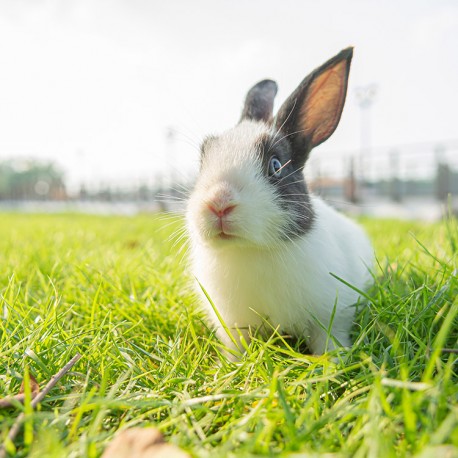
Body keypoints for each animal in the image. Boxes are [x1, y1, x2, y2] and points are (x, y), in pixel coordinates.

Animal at [185, 48, 372, 360]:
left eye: (275, 166)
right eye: (203, 160)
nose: (219, 203)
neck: (252, 250)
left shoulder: (332, 315)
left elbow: (330, 339)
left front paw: (334, 362)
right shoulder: (234, 326)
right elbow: (237, 347)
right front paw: (230, 365)